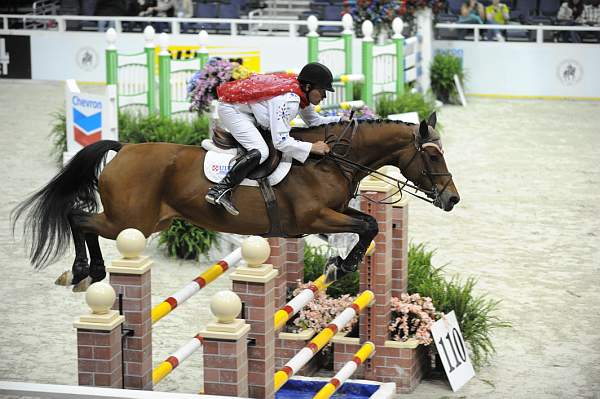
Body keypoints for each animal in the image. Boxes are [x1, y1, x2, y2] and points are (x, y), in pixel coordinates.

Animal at [10, 112, 460, 290]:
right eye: (433, 156)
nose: (452, 199)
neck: (329, 160)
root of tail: (125, 149)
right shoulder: (314, 217)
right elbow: (369, 224)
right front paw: (341, 267)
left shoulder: (329, 215)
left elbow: (370, 225)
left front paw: (339, 264)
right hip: (129, 221)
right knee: (78, 217)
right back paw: (82, 272)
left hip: (148, 222)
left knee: (85, 221)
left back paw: (91, 273)